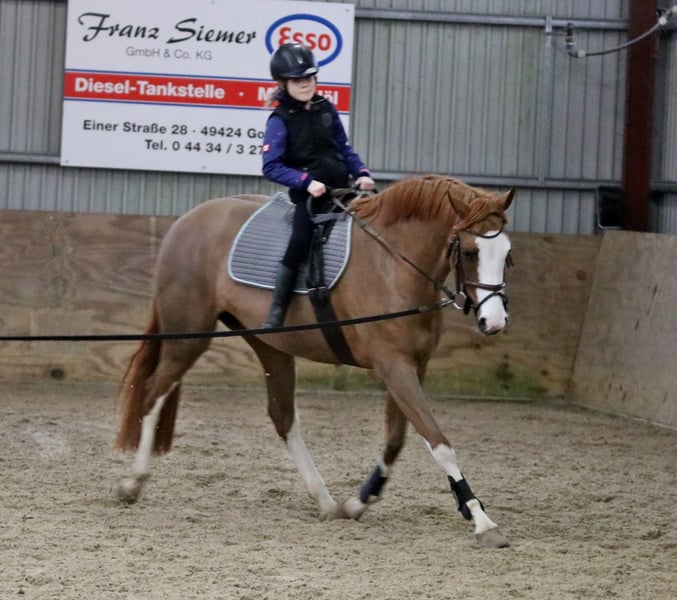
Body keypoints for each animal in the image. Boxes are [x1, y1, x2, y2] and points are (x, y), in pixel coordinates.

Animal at [113, 174, 515, 548]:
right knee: (153, 392)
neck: (393, 266)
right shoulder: (393, 366)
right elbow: (439, 443)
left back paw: (325, 502)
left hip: (268, 345)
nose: (493, 322)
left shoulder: (413, 366)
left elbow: (395, 441)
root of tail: (186, 222)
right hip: (187, 336)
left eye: (507, 254)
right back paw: (132, 483)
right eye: (469, 252)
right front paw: (482, 521)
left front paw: (358, 503)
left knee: (283, 418)